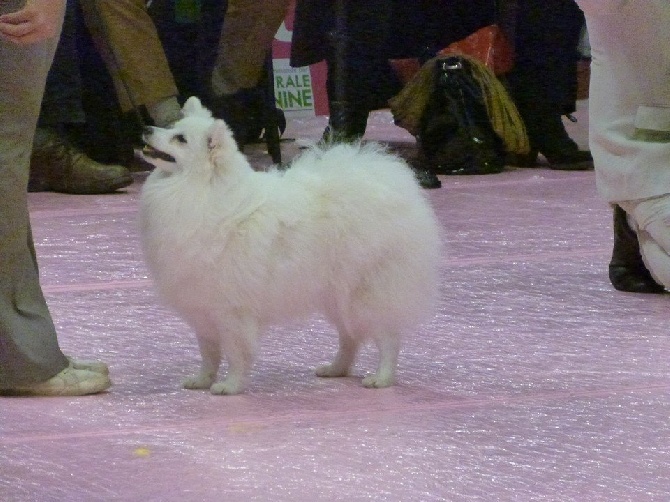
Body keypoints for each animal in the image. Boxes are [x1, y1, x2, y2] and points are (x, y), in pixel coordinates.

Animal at [139, 97, 444, 396]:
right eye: (171, 127)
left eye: (180, 139)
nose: (145, 128)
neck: (201, 192)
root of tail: (395, 185)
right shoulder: (203, 309)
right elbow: (209, 353)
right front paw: (202, 380)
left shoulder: (232, 311)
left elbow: (236, 353)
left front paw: (230, 386)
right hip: (337, 296)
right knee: (350, 337)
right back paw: (336, 369)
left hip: (367, 294)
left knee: (387, 338)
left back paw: (381, 378)